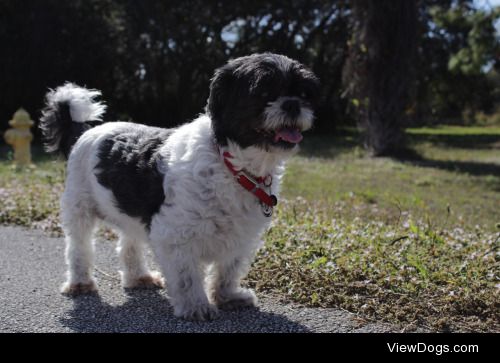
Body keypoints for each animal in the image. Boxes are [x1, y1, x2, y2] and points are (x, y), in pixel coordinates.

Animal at [39, 52, 320, 322]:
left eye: (304, 93)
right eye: (263, 91)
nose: (292, 104)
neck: (230, 163)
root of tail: (85, 132)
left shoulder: (240, 235)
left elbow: (228, 269)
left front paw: (228, 296)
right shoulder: (175, 236)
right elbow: (187, 277)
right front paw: (196, 306)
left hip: (131, 214)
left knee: (129, 243)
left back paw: (138, 277)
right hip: (80, 208)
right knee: (79, 247)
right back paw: (80, 282)